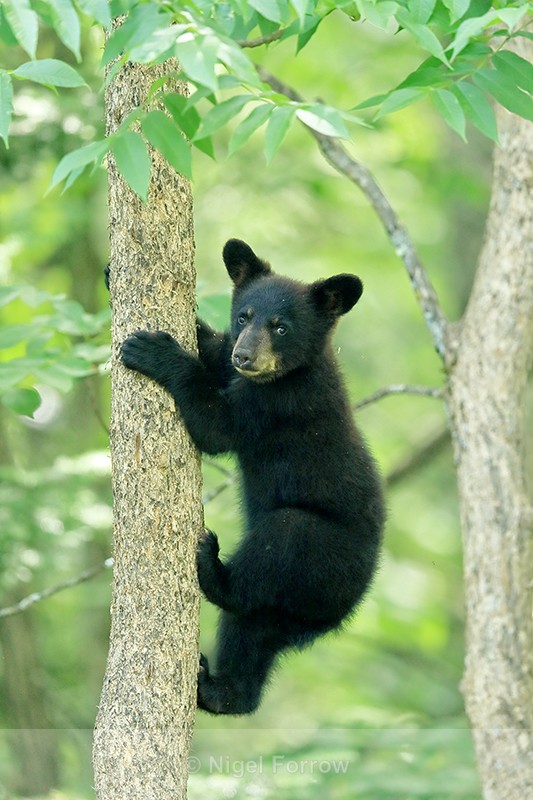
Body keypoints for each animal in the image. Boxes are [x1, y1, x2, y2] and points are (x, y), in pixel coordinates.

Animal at [120, 239, 384, 715]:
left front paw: (155, 352)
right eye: (243, 316)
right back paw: (220, 691)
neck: (292, 371)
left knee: (273, 550)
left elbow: (218, 424)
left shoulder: (280, 404)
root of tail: (349, 605)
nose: (245, 355)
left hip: (321, 552)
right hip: (283, 613)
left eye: (280, 327)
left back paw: (211, 568)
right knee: (250, 633)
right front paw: (112, 275)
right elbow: (215, 354)